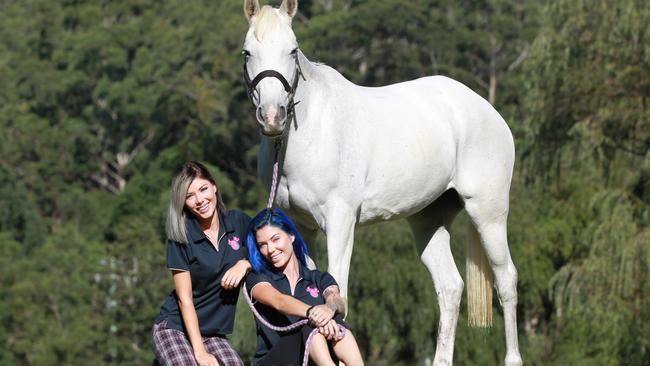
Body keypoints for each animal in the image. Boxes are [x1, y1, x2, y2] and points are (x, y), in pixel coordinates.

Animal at [243, 1, 520, 364]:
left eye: (292, 49)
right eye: (248, 52)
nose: (272, 116)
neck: (312, 132)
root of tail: (488, 110)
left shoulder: (341, 223)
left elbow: (339, 300)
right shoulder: (302, 228)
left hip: (488, 213)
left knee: (506, 281)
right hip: (429, 219)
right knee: (450, 288)